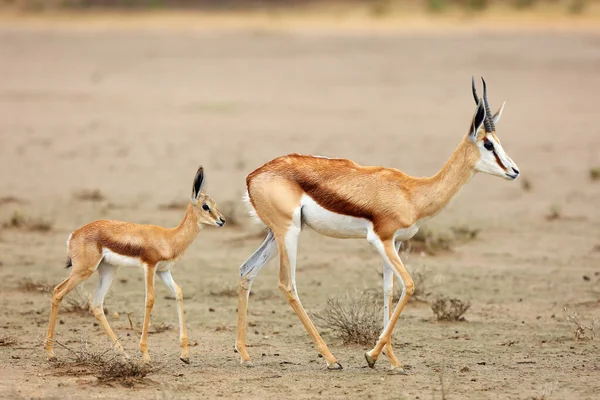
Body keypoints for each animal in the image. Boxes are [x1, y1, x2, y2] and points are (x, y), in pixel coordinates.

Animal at [45, 165, 225, 362]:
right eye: (205, 206)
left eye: (215, 204)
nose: (222, 220)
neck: (169, 238)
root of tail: (74, 235)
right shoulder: (150, 267)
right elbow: (150, 299)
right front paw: (145, 354)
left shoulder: (163, 271)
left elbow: (178, 292)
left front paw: (184, 354)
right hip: (84, 270)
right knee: (58, 292)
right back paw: (50, 352)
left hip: (108, 270)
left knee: (96, 303)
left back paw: (123, 353)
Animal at [234, 78, 520, 372]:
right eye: (488, 144)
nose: (514, 171)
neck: (412, 193)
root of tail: (253, 176)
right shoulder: (380, 239)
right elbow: (409, 285)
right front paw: (371, 355)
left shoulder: (394, 243)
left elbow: (388, 290)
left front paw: (392, 360)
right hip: (289, 232)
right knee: (287, 284)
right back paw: (331, 359)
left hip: (275, 235)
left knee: (247, 269)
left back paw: (244, 354)